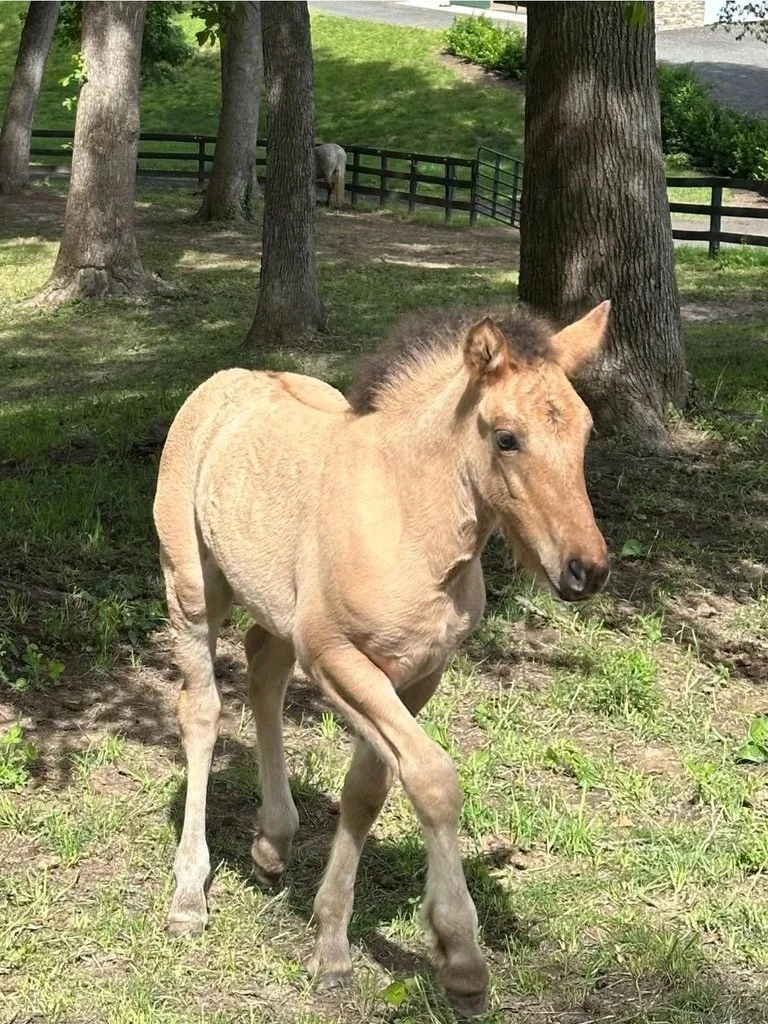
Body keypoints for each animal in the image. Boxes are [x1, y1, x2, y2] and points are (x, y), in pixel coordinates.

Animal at [153, 301, 611, 1016]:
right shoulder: (336, 657)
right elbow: (433, 779)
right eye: (506, 438)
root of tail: (228, 379)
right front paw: (460, 956)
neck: (406, 520)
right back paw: (188, 896)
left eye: (586, 430)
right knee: (200, 710)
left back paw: (272, 841)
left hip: (277, 609)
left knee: (263, 670)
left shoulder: (418, 674)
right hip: (193, 588)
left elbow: (368, 789)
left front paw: (333, 948)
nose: (585, 570)